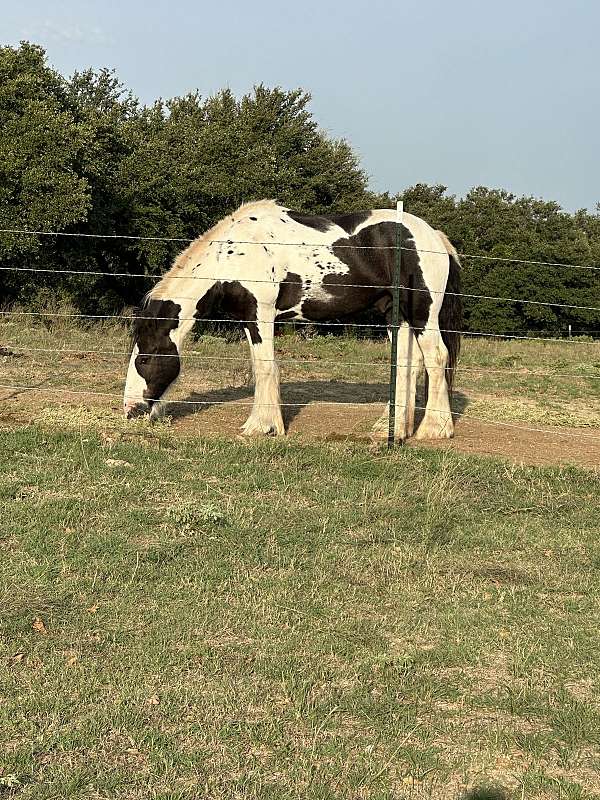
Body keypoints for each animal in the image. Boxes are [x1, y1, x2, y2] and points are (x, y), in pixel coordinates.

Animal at [124, 198, 462, 438]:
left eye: (144, 359)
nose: (130, 410)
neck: (233, 254)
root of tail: (435, 237)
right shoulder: (249, 318)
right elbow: (260, 366)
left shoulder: (261, 314)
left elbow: (265, 368)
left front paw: (261, 426)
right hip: (396, 315)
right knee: (408, 366)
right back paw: (391, 430)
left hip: (422, 312)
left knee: (437, 357)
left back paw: (435, 429)